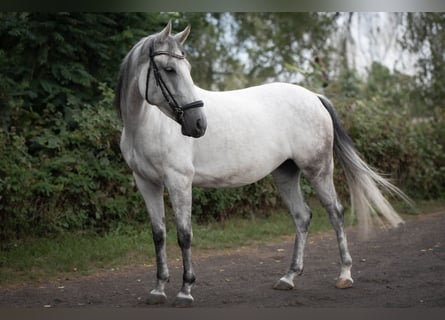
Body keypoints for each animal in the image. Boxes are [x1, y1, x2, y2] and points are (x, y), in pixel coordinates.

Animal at [115, 21, 410, 306]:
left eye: (185, 69)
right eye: (169, 69)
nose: (198, 124)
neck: (148, 125)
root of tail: (314, 97)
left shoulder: (179, 181)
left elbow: (184, 235)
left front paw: (185, 291)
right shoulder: (147, 183)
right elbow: (159, 234)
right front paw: (158, 289)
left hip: (318, 169)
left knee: (335, 212)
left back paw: (345, 275)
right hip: (286, 173)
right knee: (302, 216)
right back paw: (289, 277)